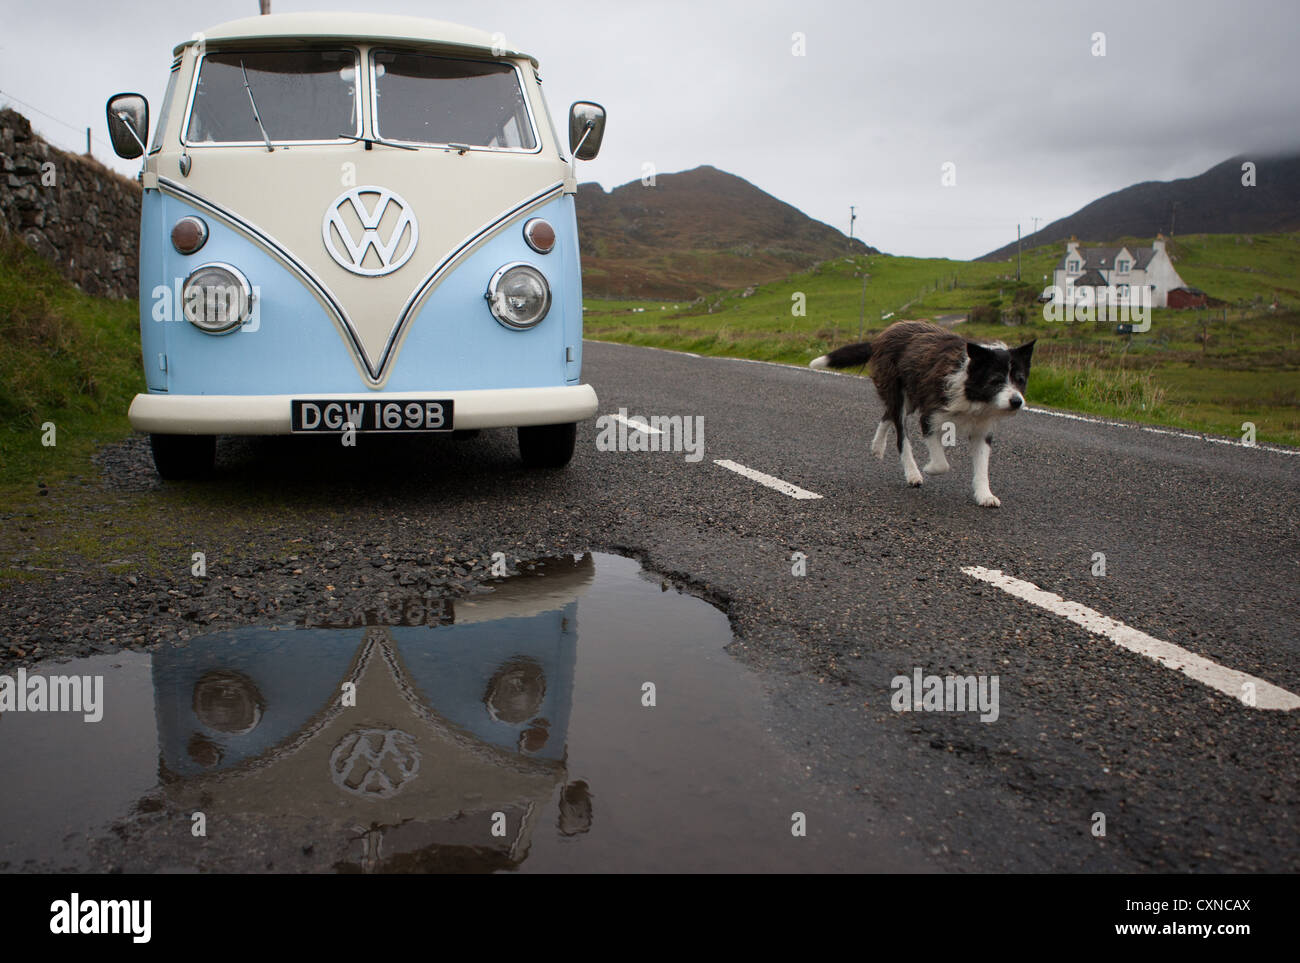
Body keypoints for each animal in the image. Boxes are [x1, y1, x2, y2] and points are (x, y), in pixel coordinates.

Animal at [811, 321, 1034, 506]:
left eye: (1020, 379)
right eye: (996, 380)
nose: (1017, 401)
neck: (970, 390)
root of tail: (884, 334)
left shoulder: (982, 430)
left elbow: (982, 467)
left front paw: (984, 495)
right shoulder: (930, 417)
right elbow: (942, 463)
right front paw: (929, 469)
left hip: (910, 396)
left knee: (887, 415)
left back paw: (877, 446)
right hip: (898, 392)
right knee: (901, 436)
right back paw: (912, 473)